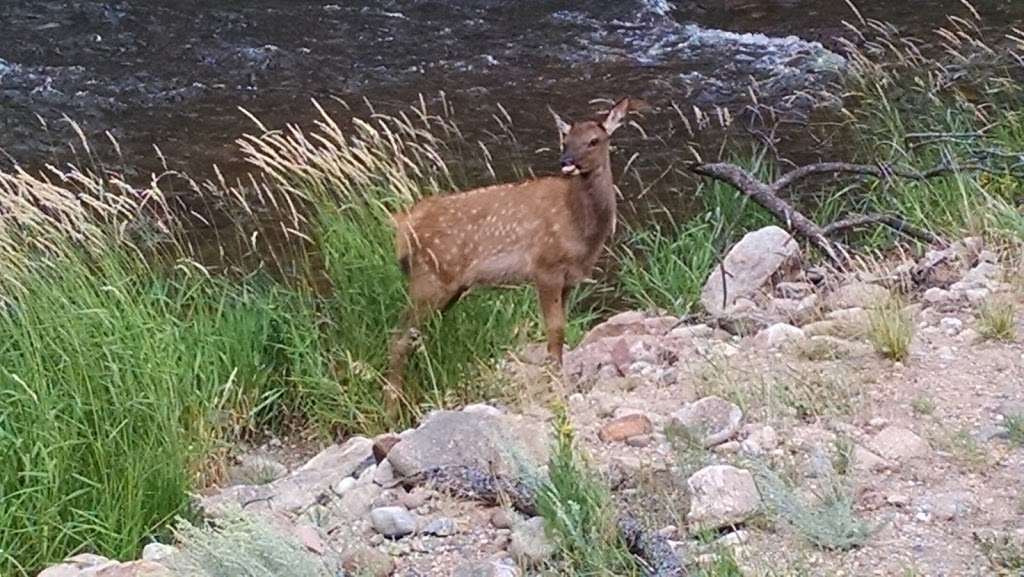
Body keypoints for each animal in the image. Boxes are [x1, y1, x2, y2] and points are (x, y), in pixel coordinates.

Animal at [385, 98, 630, 405]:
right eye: (565, 140)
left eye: (594, 140)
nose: (567, 162)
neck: (580, 228)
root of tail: (405, 227)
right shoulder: (545, 266)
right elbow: (555, 330)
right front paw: (554, 384)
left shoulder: (569, 279)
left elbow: (560, 332)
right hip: (431, 277)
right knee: (399, 336)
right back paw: (393, 403)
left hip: (448, 286)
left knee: (414, 335)